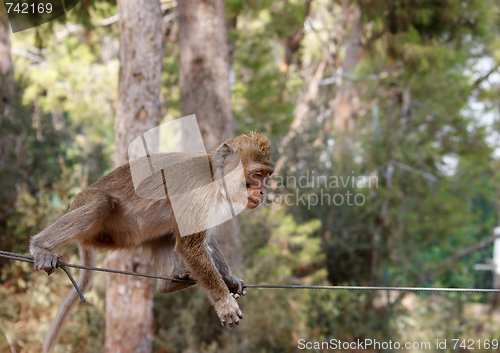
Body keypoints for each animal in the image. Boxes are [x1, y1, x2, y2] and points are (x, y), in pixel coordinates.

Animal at [30, 131, 274, 350]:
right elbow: (191, 246)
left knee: (165, 233)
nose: (263, 191)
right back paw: (40, 246)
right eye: (257, 174)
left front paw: (230, 279)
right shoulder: (199, 194)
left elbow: (203, 241)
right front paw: (224, 303)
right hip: (93, 213)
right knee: (101, 203)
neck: (216, 177)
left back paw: (170, 282)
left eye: (266, 175)